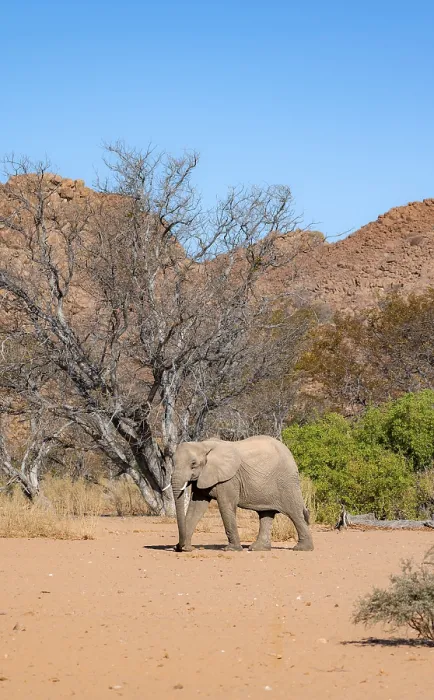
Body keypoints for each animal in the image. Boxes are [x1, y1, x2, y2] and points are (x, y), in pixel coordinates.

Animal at [171, 435, 314, 552]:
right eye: (173, 462)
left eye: (193, 464)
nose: (178, 547)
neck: (203, 445)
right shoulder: (204, 476)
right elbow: (196, 508)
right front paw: (185, 549)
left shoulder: (229, 478)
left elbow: (225, 505)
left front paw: (231, 549)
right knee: (266, 514)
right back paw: (258, 548)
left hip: (287, 482)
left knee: (294, 513)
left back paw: (302, 548)